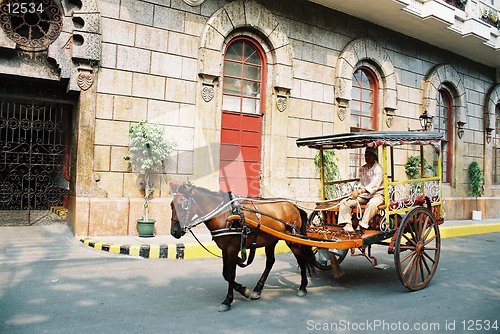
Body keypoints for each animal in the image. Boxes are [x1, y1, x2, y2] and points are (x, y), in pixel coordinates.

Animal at [170, 181, 314, 312]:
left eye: (183, 205)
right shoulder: (224, 249)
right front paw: (246, 291)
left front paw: (228, 301)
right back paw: (258, 289)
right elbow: (225, 274)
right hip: (271, 240)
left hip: (292, 240)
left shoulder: (233, 249)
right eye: (171, 205)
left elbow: (231, 274)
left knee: (301, 259)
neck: (225, 215)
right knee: (270, 262)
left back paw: (302, 287)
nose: (174, 232)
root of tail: (293, 206)